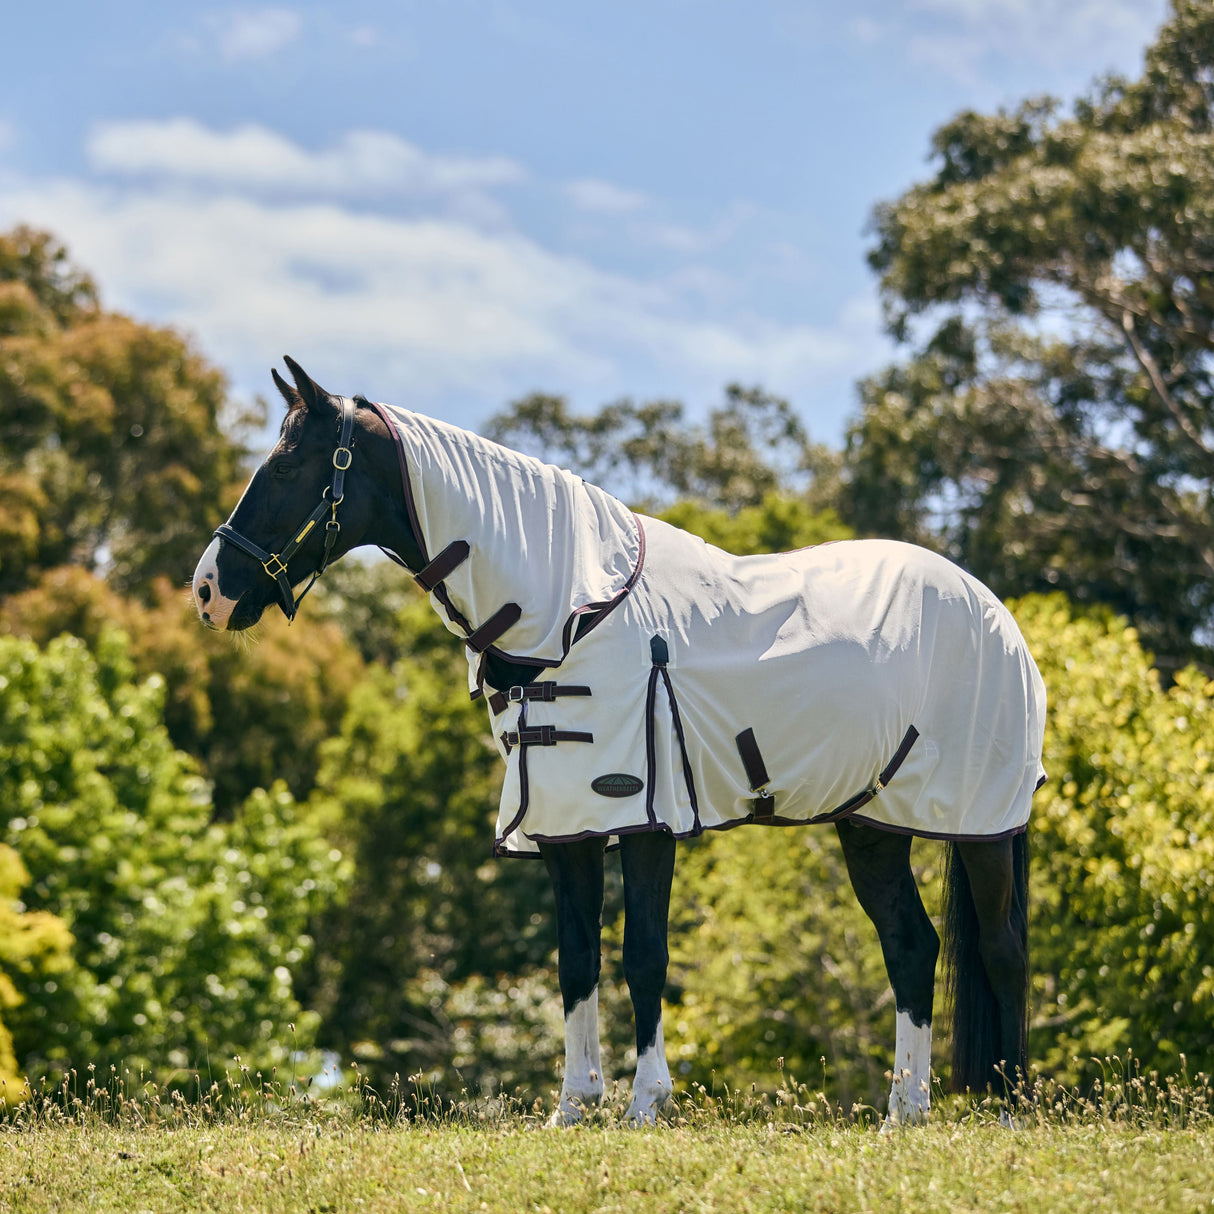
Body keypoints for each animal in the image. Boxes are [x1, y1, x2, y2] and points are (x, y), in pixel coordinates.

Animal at [191, 356, 1044, 1126]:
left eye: (288, 464)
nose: (207, 591)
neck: (569, 611)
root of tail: (994, 612)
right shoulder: (563, 824)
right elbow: (576, 960)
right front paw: (573, 1106)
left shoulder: (643, 819)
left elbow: (643, 955)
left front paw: (645, 1105)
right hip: (872, 825)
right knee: (913, 947)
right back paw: (906, 1114)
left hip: (981, 826)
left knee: (1000, 949)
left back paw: (1007, 1109)